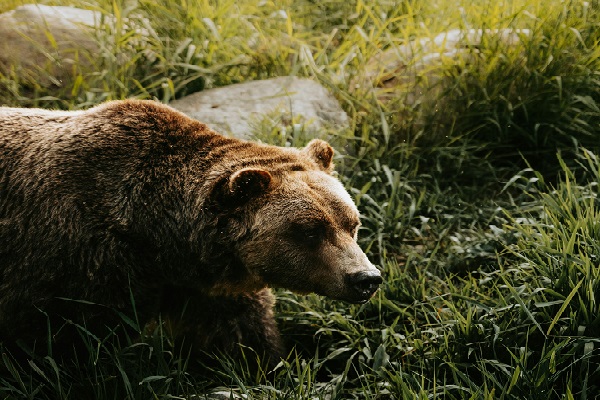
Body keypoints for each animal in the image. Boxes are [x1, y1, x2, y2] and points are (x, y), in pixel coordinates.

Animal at [0, 101, 382, 366]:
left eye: (352, 223)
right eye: (309, 231)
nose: (365, 278)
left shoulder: (207, 288)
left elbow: (238, 332)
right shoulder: (77, 264)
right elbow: (72, 347)